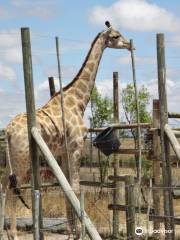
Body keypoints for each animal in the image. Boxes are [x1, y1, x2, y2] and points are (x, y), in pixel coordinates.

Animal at [1, 21, 131, 239]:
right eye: (115, 35)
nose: (130, 45)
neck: (77, 101)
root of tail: (8, 130)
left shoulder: (62, 153)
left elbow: (67, 188)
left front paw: (72, 231)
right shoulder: (76, 147)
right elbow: (76, 187)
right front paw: (79, 232)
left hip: (11, 155)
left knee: (4, 184)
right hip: (22, 157)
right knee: (13, 187)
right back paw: (13, 233)